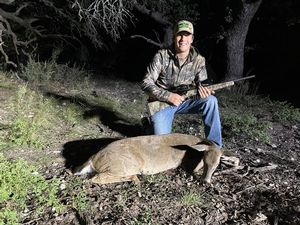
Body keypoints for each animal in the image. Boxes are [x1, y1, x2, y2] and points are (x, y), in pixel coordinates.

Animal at [74, 133, 224, 184]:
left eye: (217, 164)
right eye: (205, 161)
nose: (206, 181)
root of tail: (93, 158)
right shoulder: (186, 165)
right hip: (125, 164)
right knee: (95, 179)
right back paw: (135, 179)